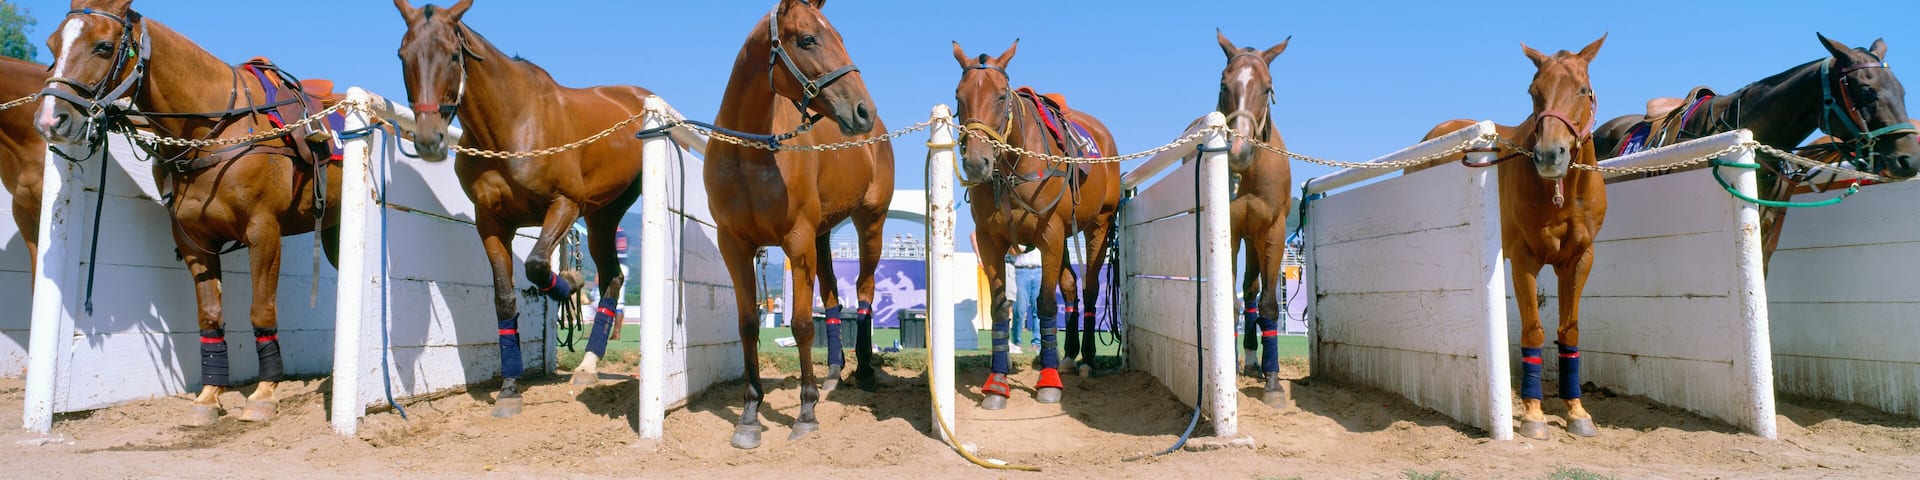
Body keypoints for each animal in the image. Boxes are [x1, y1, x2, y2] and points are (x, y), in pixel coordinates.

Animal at [36, 0, 346, 426]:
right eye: (52, 46)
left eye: (103, 46)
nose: (50, 120)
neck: (215, 133)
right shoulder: (194, 242)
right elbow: (210, 316)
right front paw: (208, 397)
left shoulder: (264, 231)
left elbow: (261, 310)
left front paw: (264, 393)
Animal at [393, 0, 655, 418]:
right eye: (403, 55)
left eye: (452, 54)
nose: (429, 139)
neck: (513, 125)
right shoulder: (491, 221)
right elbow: (504, 298)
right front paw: (510, 387)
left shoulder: (564, 204)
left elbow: (537, 266)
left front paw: (571, 285)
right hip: (602, 216)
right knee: (613, 276)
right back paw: (587, 365)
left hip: (602, 209)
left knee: (609, 276)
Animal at [704, 0, 892, 449]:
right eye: (808, 39)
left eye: (840, 37)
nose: (864, 110)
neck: (751, 153)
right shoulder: (734, 245)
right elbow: (748, 325)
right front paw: (749, 417)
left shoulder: (797, 240)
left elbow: (804, 325)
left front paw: (806, 413)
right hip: (824, 235)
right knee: (833, 296)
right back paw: (833, 375)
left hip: (869, 223)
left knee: (864, 292)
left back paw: (863, 371)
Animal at [952, 40, 1122, 411]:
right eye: (959, 96)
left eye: (1001, 96)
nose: (976, 162)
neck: (1013, 165)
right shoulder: (989, 241)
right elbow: (1001, 307)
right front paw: (997, 382)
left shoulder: (1050, 235)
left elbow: (1045, 303)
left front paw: (1048, 382)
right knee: (1071, 287)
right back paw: (1069, 355)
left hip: (1099, 226)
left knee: (1090, 289)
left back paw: (1087, 359)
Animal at [1420, 36, 1609, 440]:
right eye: (1533, 91)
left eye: (1582, 89)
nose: (1550, 155)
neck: (1561, 192)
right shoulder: (1525, 259)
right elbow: (1534, 333)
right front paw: (1534, 416)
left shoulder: (1579, 260)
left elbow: (1569, 332)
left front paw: (1577, 411)